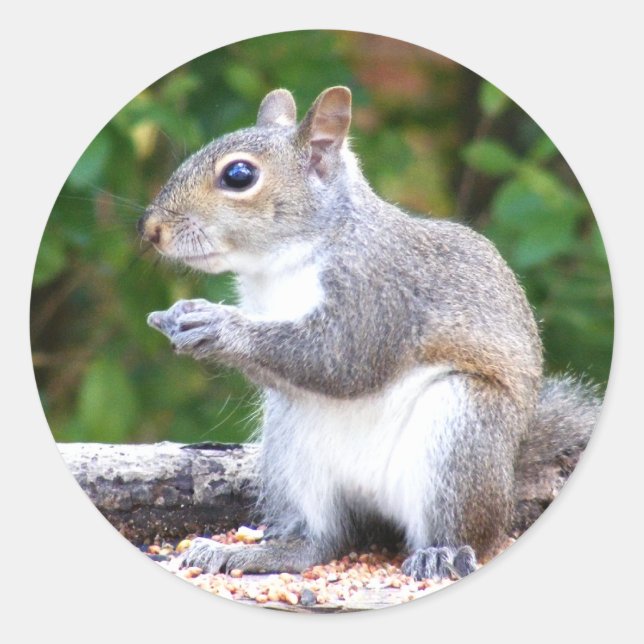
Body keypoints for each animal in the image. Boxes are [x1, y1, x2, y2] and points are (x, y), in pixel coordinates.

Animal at [139, 86, 601, 580]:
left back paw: (441, 552)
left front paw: (219, 325)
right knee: (322, 540)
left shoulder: (377, 290)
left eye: (239, 175)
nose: (150, 230)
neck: (285, 261)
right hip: (290, 442)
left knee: (468, 532)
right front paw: (177, 316)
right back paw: (259, 553)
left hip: (463, 431)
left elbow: (340, 359)